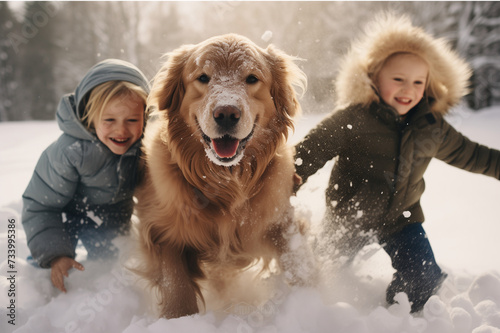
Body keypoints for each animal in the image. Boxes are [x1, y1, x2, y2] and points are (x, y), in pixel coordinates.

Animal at [133, 33, 312, 316]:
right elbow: (177, 285)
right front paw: (179, 318)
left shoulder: (281, 221)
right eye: (203, 77)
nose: (226, 113)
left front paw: (314, 301)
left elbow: (298, 263)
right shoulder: (160, 231)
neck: (225, 183)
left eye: (252, 78)